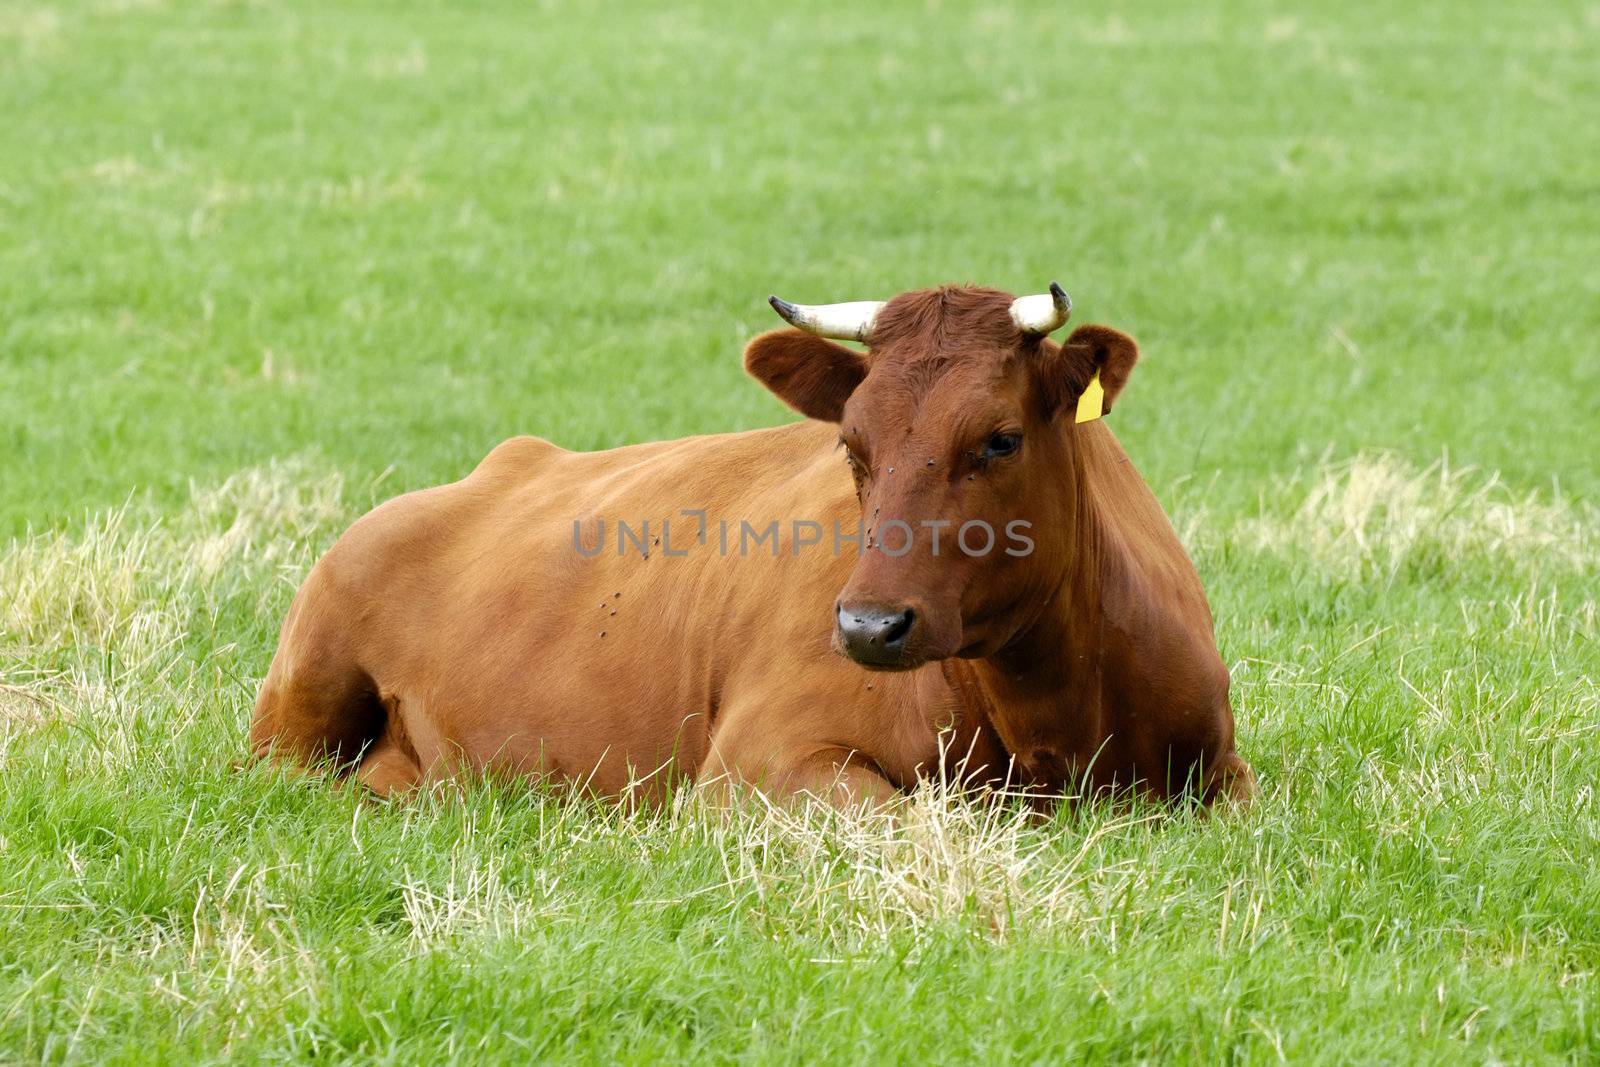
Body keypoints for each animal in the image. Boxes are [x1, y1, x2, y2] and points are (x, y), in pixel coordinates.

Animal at [246, 283, 1248, 809]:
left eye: (1000, 439)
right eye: (852, 444)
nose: (868, 626)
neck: (1056, 717)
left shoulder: (1224, 771)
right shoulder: (758, 763)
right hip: (300, 700)